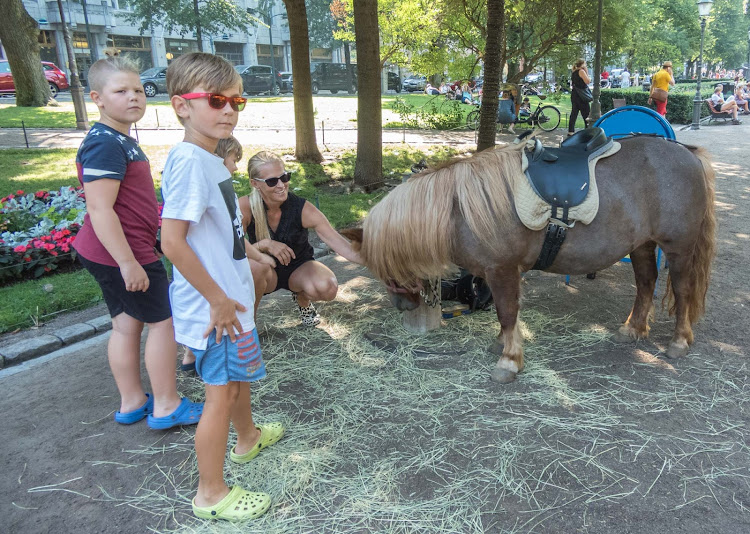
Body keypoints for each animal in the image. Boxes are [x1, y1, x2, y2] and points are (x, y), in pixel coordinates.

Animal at [344, 136, 720, 384]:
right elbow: (504, 314)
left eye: (385, 267)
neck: (460, 209)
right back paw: (632, 329)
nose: (402, 305)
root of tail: (686, 152)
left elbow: (508, 312)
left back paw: (679, 342)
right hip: (641, 245)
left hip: (678, 248)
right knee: (645, 283)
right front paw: (502, 344)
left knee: (682, 290)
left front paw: (509, 361)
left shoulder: (503, 270)